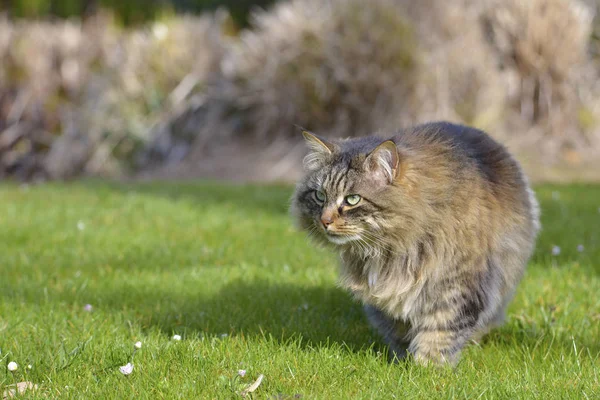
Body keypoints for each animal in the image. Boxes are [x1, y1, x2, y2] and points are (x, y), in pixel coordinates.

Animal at [290, 121, 540, 366]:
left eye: (352, 199)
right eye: (320, 196)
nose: (324, 221)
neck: (391, 249)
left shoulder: (456, 282)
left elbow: (439, 331)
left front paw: (426, 367)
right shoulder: (386, 293)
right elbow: (399, 328)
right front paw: (403, 361)